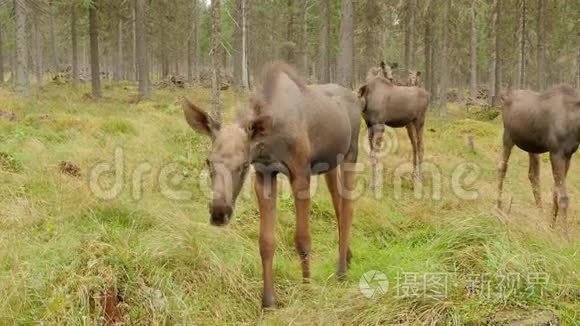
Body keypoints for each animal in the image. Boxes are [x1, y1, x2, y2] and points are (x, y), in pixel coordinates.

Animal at [181, 62, 362, 306]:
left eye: (244, 164)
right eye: (208, 161)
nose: (219, 212)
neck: (269, 144)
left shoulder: (300, 174)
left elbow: (302, 239)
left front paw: (307, 287)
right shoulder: (265, 175)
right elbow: (266, 242)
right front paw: (268, 301)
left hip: (351, 153)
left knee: (348, 208)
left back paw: (341, 270)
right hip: (330, 163)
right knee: (338, 205)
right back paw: (348, 257)